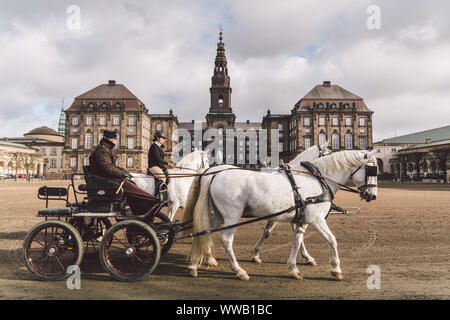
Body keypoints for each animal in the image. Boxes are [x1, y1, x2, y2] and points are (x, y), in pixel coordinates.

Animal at [183, 149, 376, 280]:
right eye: (371, 169)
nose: (372, 196)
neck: (316, 180)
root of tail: (214, 174)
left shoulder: (301, 220)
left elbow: (297, 241)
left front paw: (294, 267)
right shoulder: (316, 220)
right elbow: (332, 240)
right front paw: (336, 269)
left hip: (217, 215)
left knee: (204, 231)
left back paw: (195, 264)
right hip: (232, 215)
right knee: (226, 240)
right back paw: (238, 270)